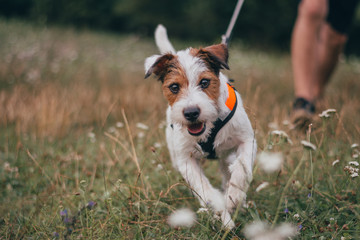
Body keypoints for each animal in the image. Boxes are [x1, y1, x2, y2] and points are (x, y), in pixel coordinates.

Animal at [145, 24, 258, 229]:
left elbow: (242, 168)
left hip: (226, 156)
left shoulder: (247, 140)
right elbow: (204, 189)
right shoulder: (186, 160)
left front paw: (234, 197)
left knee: (228, 172)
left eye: (204, 82)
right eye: (174, 87)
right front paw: (222, 212)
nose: (191, 113)